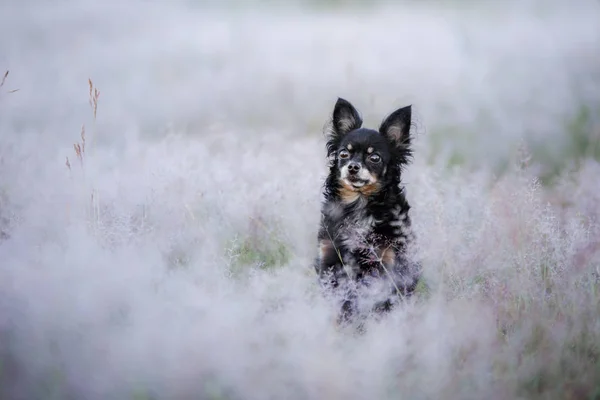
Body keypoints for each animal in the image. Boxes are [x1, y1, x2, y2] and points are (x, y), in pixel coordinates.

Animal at [314, 97, 422, 328]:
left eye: (374, 158)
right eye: (344, 154)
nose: (353, 167)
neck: (358, 204)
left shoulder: (385, 266)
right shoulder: (329, 260)